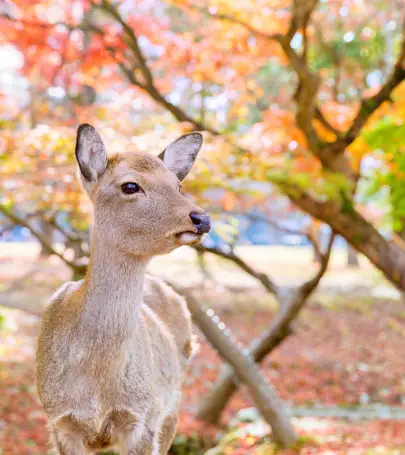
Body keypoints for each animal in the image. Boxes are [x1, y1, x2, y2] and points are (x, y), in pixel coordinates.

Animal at [36, 123, 210, 454]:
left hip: (172, 407)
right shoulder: (59, 421)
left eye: (177, 186)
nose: (201, 218)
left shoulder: (143, 418)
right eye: (130, 186)